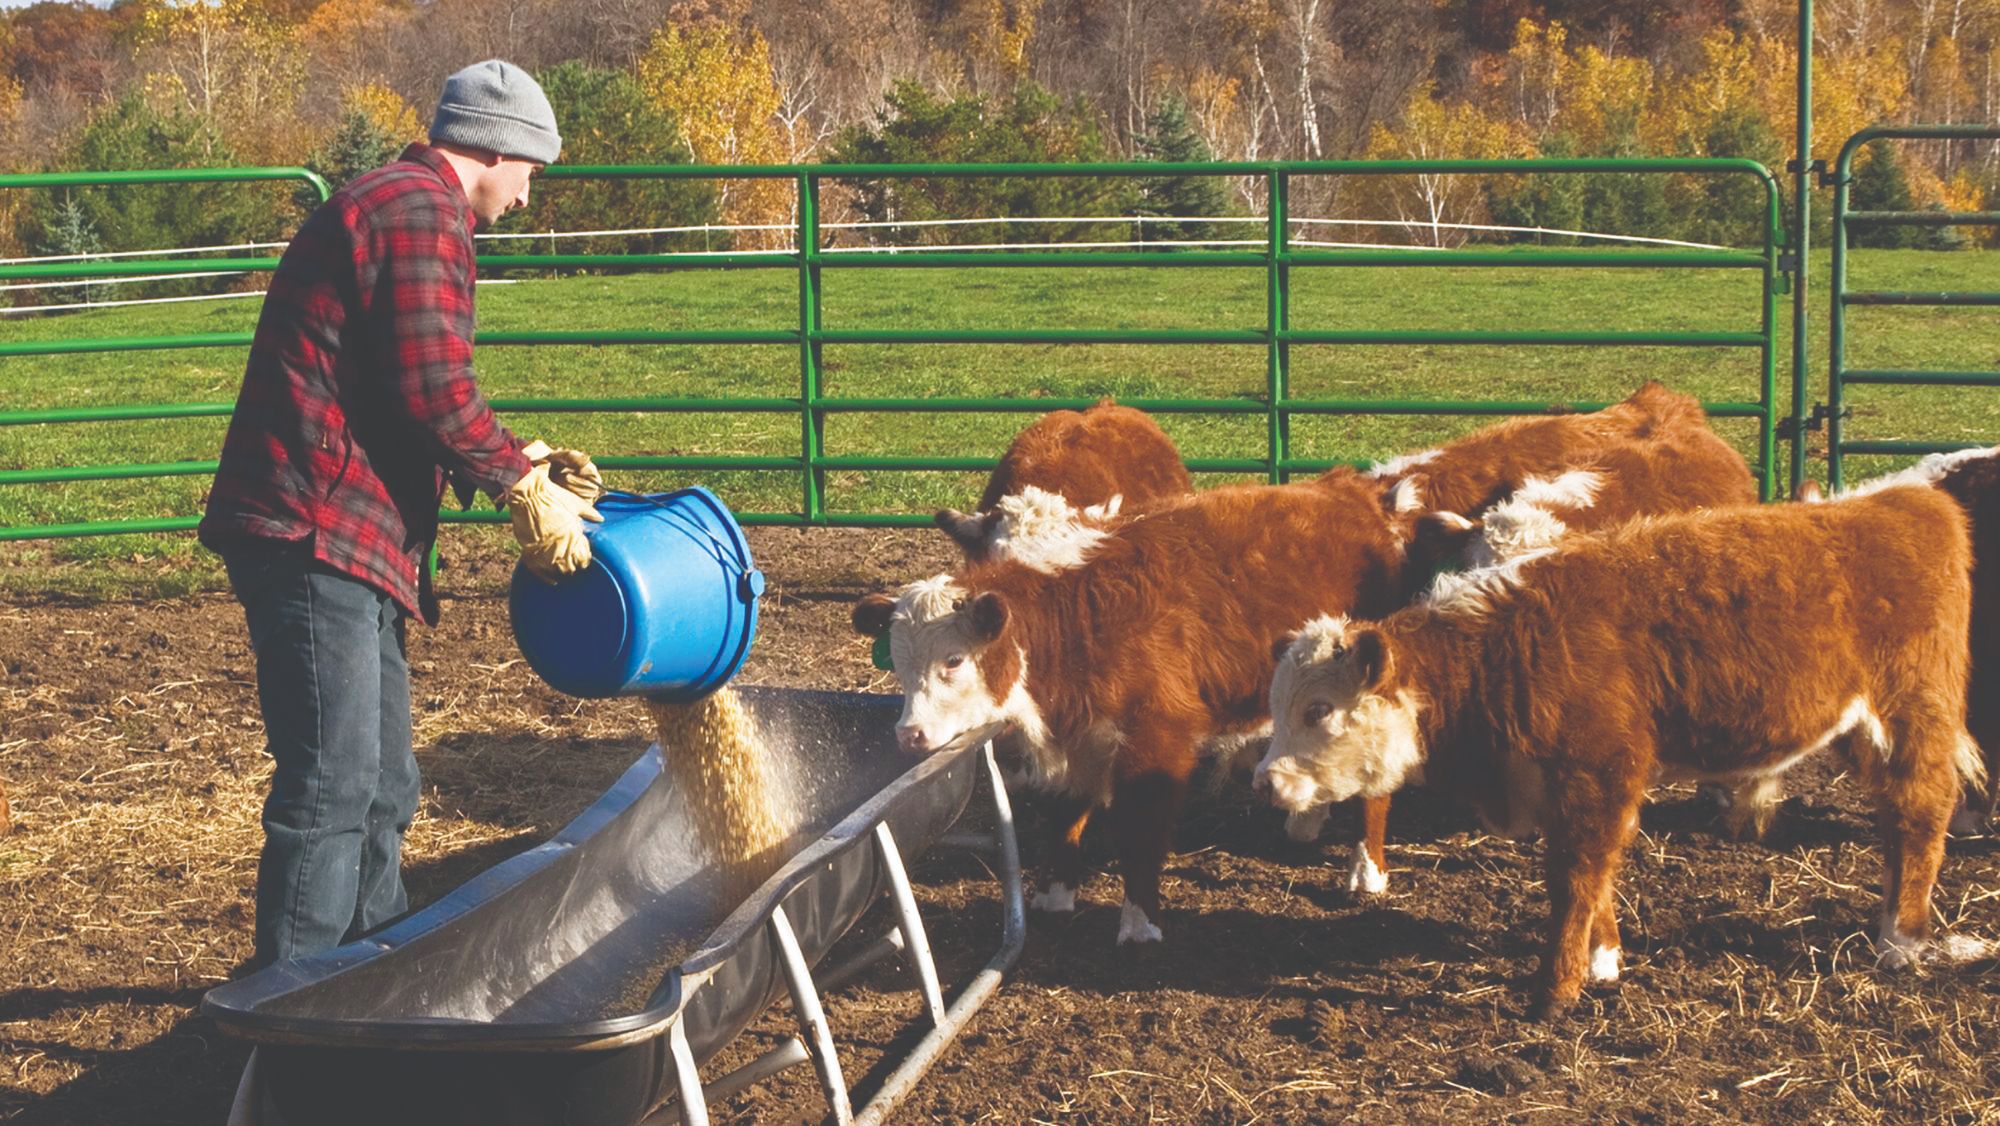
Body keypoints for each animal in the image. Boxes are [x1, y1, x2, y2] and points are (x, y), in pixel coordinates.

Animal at [860, 476, 1408, 944]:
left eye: (953, 660)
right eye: (900, 665)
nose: (910, 734)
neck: (1080, 616)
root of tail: (1354, 491)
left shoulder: (1157, 740)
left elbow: (1140, 832)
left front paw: (1140, 924)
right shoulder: (1075, 739)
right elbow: (1064, 814)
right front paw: (1054, 896)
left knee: (1376, 784)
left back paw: (1366, 870)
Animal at [1248, 490, 1984, 1016]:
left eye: (1317, 710)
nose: (1264, 784)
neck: (1508, 648)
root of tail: (1903, 501)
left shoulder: (1596, 773)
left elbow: (1576, 875)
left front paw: (1555, 989)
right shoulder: (1573, 786)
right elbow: (1596, 870)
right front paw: (1603, 960)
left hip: (1911, 716)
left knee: (1922, 813)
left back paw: (1902, 940)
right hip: (1864, 731)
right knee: (1896, 821)